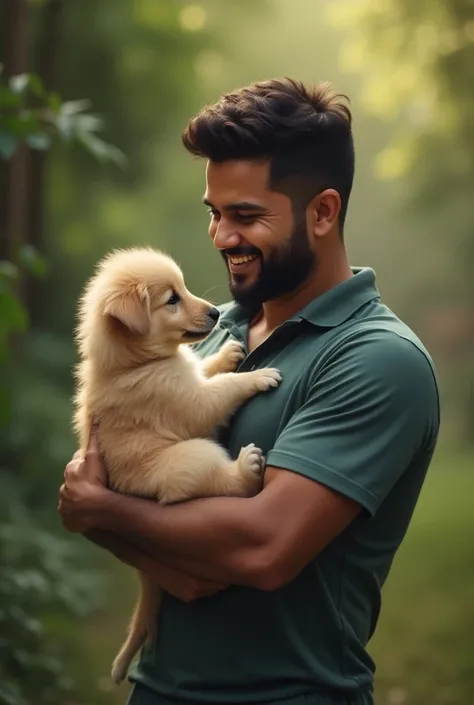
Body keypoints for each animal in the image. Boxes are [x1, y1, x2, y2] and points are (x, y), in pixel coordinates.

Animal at [72, 246, 284, 680]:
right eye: (172, 300)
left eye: (183, 289)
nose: (217, 313)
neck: (132, 363)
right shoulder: (188, 403)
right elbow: (221, 390)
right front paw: (258, 376)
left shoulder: (188, 381)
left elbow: (202, 369)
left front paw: (226, 354)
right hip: (192, 455)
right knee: (217, 480)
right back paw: (246, 467)